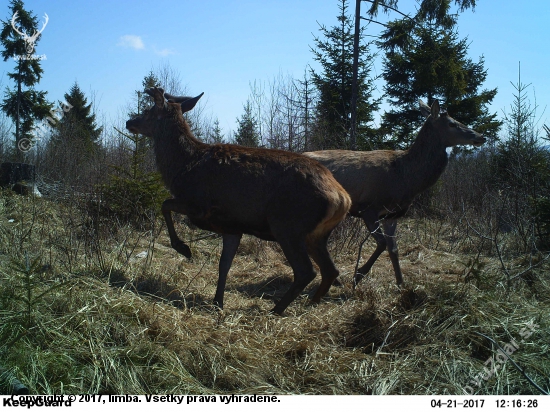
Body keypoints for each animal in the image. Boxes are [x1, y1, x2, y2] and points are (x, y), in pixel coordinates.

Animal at [125, 85, 352, 314]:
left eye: (148, 111)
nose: (129, 122)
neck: (182, 167)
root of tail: (343, 198)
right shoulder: (232, 226)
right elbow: (224, 264)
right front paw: (217, 301)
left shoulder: (198, 205)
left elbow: (165, 205)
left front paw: (183, 248)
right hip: (316, 235)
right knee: (331, 270)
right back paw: (311, 304)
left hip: (287, 225)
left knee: (307, 271)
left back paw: (276, 309)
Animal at [304, 98, 490, 288]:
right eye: (452, 123)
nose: (481, 136)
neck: (406, 178)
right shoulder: (368, 208)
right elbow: (382, 244)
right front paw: (358, 275)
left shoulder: (392, 214)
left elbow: (393, 249)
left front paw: (401, 283)